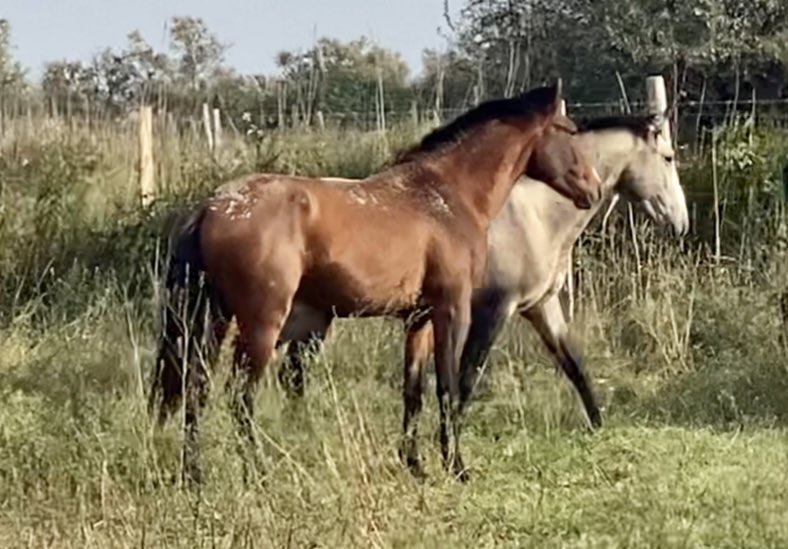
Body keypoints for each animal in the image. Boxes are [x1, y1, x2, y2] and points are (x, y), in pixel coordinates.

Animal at [151, 82, 600, 484]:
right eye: (568, 131)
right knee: (239, 398)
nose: (594, 189)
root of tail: (212, 207)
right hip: (261, 324)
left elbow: (413, 391)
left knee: (196, 389)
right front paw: (456, 467)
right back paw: (257, 475)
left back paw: (194, 475)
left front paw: (415, 465)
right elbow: (448, 387)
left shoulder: (418, 319)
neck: (445, 195)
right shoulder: (452, 310)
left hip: (214, 320)